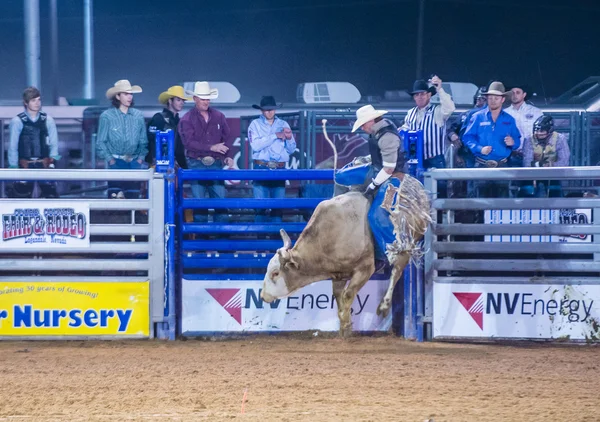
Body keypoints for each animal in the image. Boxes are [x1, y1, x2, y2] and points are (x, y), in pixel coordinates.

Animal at [260, 164, 428, 336]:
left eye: (275, 273)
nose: (262, 296)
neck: (328, 235)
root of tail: (417, 185)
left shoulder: (365, 269)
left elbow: (348, 295)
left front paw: (346, 328)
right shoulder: (338, 274)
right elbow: (339, 298)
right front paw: (344, 327)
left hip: (409, 240)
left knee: (397, 269)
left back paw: (384, 305)